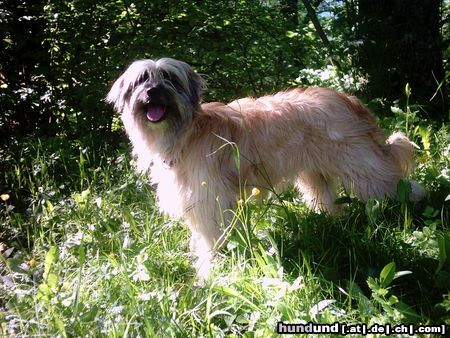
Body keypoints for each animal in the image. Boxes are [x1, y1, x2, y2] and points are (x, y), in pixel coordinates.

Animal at [106, 58, 426, 278]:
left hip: (359, 162)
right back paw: (333, 221)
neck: (185, 134)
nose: (153, 93)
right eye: (141, 80)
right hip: (315, 171)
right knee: (327, 197)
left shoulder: (211, 199)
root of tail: (348, 99)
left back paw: (416, 210)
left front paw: (209, 270)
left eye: (170, 78)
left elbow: (212, 237)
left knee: (395, 181)